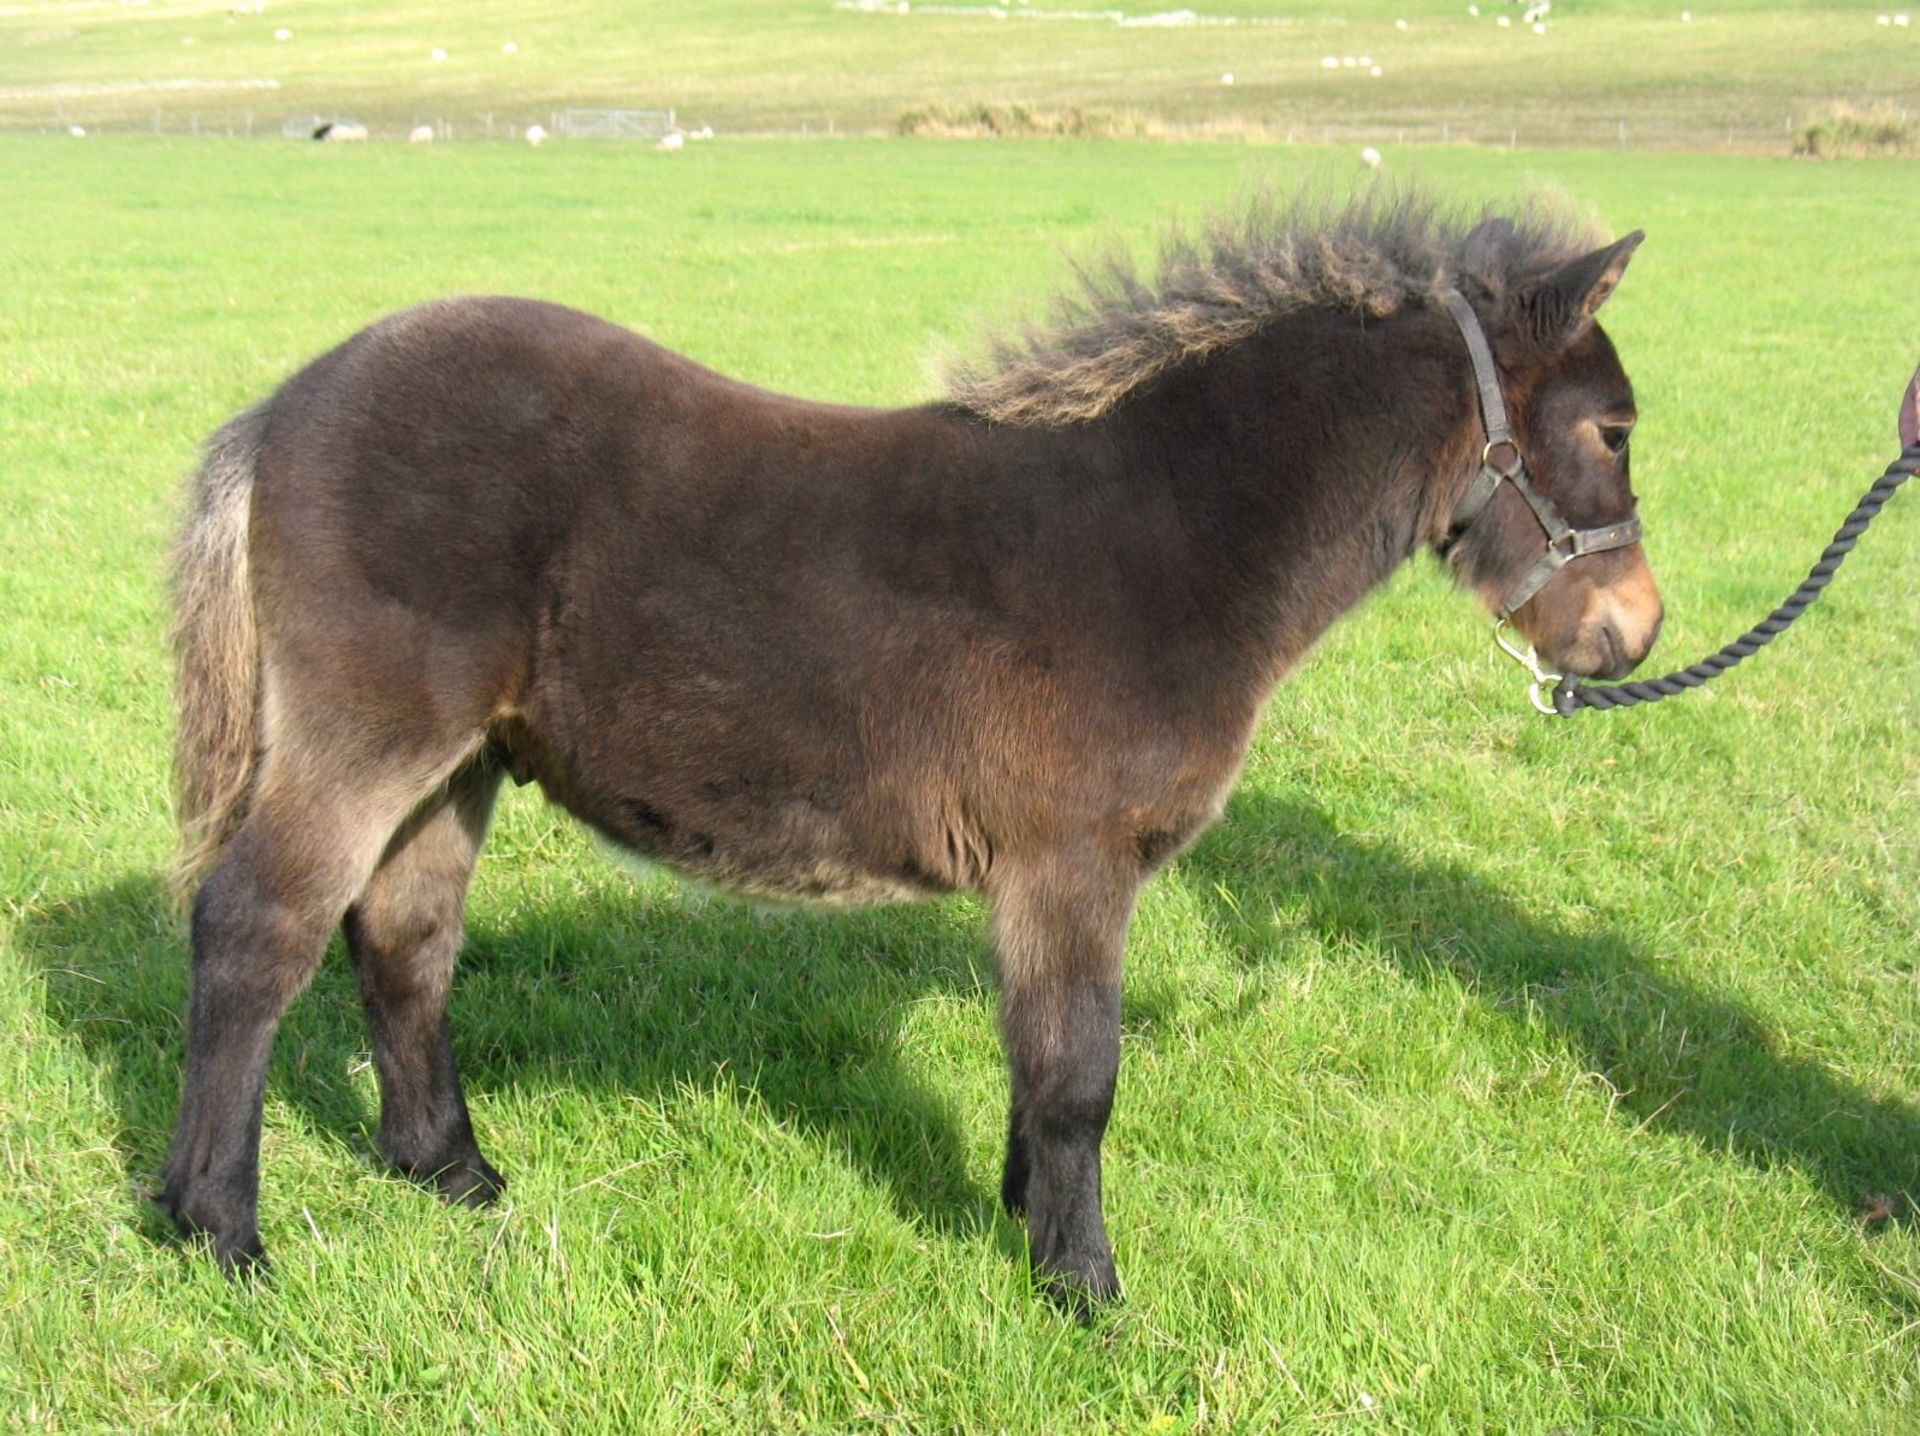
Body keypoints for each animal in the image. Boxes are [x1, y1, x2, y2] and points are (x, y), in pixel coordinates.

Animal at [161, 191, 1666, 1313]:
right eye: (1612, 429)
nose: (1634, 632)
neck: (1168, 531)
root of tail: (287, 404)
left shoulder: (1046, 880)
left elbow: (1039, 1063)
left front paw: (1026, 1223)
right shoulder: (1072, 861)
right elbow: (1080, 1077)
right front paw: (1085, 1291)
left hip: (459, 762)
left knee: (402, 941)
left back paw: (449, 1173)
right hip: (368, 738)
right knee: (255, 931)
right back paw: (218, 1231)